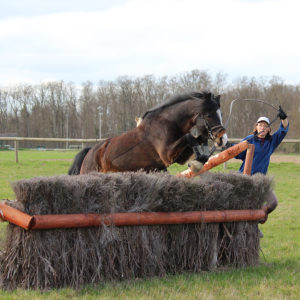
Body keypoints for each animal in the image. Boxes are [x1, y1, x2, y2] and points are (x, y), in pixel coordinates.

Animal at [68, 90, 227, 175]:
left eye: (221, 114)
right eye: (208, 115)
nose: (222, 140)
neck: (169, 123)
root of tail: (89, 152)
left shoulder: (178, 157)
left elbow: (197, 139)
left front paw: (201, 158)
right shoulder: (167, 155)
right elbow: (189, 137)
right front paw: (198, 161)